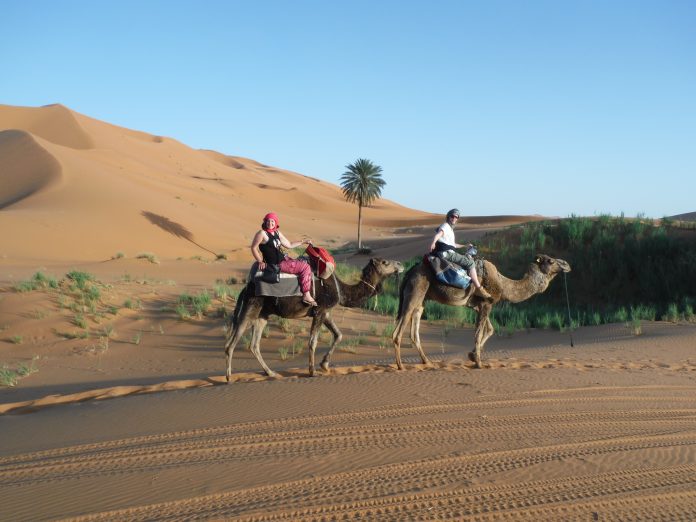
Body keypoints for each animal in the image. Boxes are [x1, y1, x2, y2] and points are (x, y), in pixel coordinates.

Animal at [226, 258, 406, 380]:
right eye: (385, 262)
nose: (401, 265)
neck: (341, 290)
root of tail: (246, 287)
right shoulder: (320, 310)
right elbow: (313, 342)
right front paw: (312, 371)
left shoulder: (326, 312)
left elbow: (338, 334)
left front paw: (324, 365)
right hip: (251, 306)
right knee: (232, 342)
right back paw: (228, 377)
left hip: (263, 314)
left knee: (254, 344)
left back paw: (271, 372)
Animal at [392, 251, 572, 366]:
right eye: (550, 261)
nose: (567, 264)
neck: (504, 285)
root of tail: (409, 272)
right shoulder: (486, 303)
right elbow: (478, 332)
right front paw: (478, 362)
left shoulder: (478, 305)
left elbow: (489, 329)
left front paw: (472, 355)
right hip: (415, 290)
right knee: (398, 331)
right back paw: (401, 366)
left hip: (422, 299)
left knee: (414, 331)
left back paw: (427, 362)